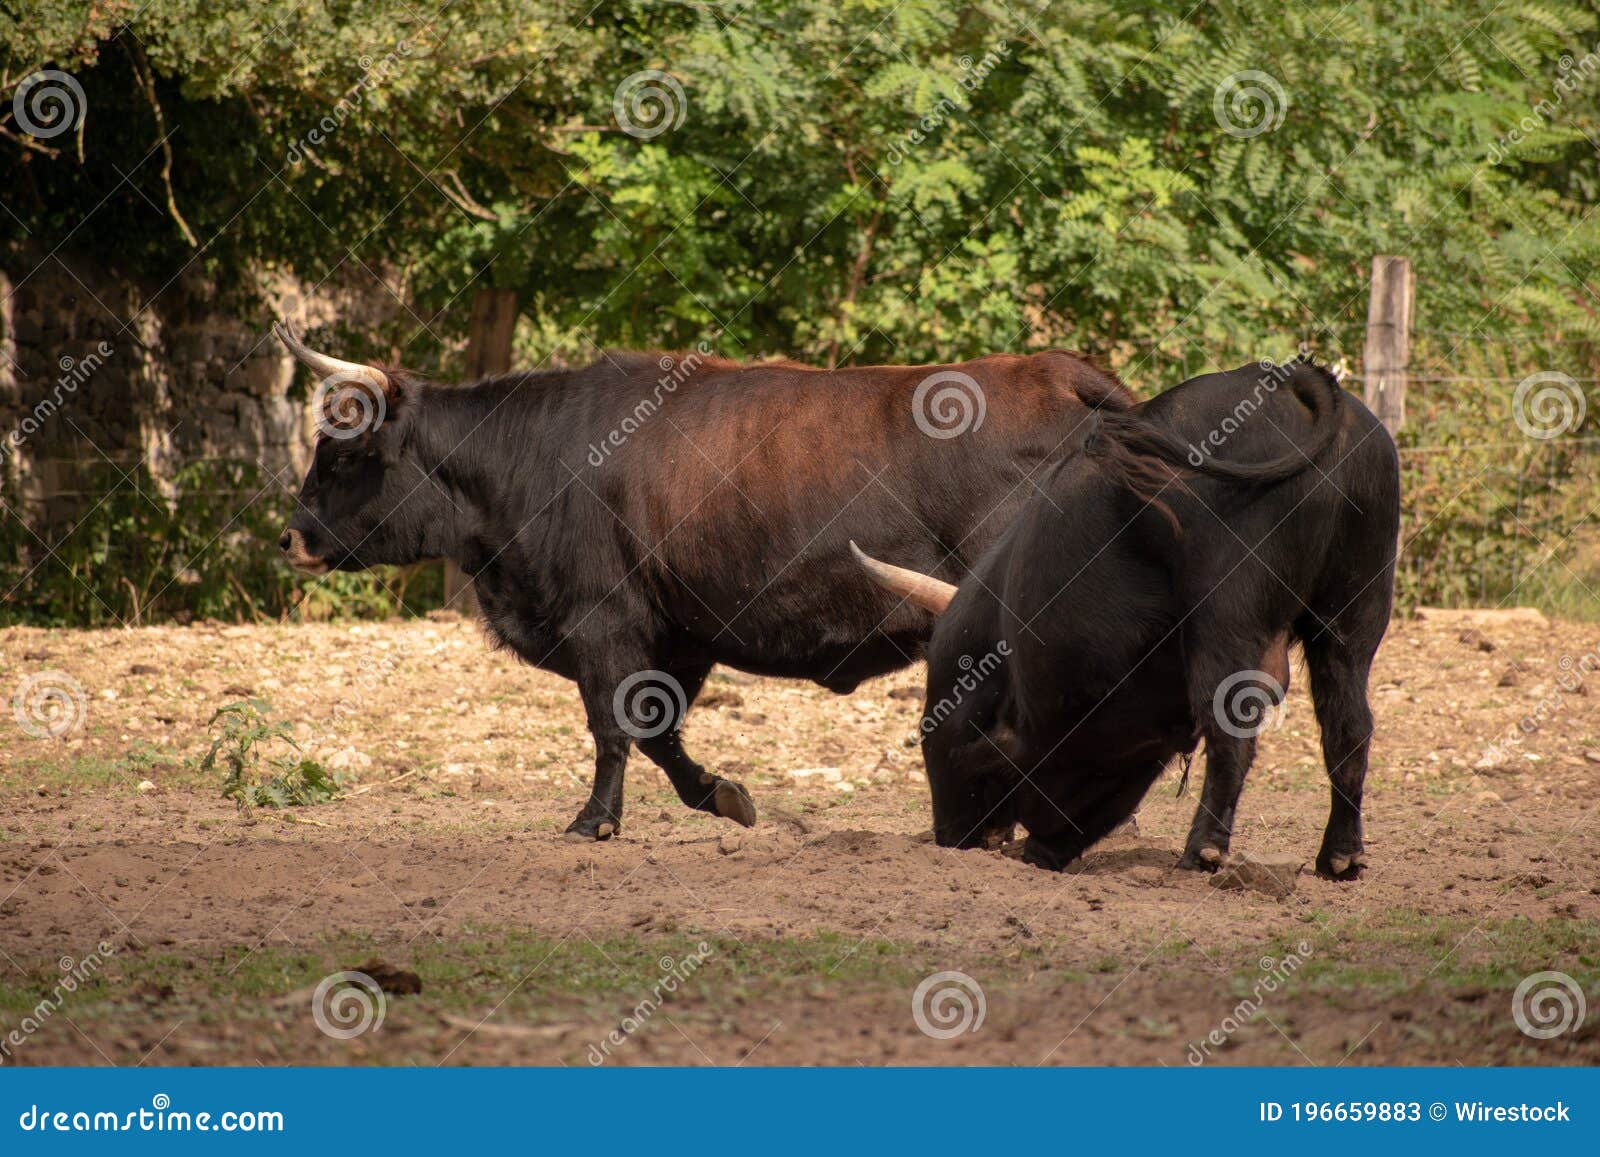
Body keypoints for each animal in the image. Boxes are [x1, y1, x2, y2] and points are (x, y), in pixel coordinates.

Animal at [272, 323, 1134, 840]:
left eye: (343, 455)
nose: (292, 537)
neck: (533, 457)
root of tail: (1056, 371)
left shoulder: (602, 620)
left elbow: (613, 725)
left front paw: (594, 820)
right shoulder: (677, 632)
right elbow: (658, 730)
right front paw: (721, 793)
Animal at [852, 357, 1400, 878]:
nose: (953, 837)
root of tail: (1290, 383)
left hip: (1227, 618)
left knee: (1233, 731)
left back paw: (1201, 852)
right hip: (1353, 616)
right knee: (1349, 727)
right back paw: (1340, 857)